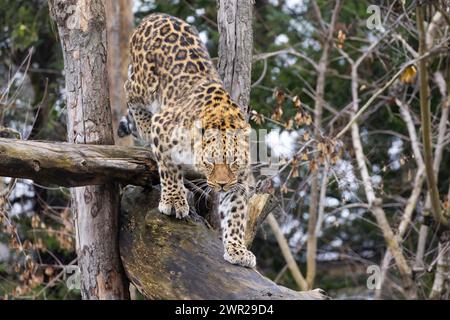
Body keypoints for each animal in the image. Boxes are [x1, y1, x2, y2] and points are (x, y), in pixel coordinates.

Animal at [121, 13, 256, 268]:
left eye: (233, 162)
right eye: (210, 162)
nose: (221, 185)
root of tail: (154, 16)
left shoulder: (239, 181)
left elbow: (235, 215)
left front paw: (237, 249)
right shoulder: (163, 127)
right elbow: (169, 169)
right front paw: (174, 201)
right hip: (144, 84)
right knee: (128, 89)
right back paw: (143, 127)